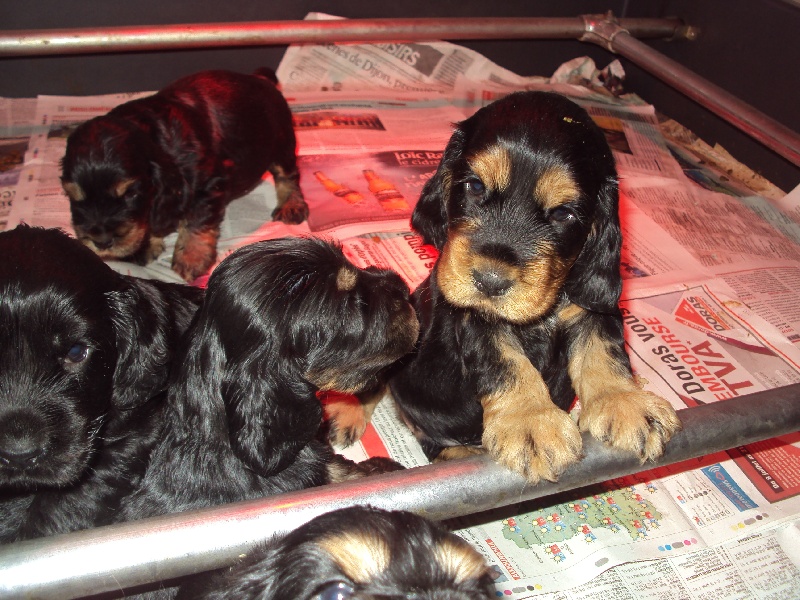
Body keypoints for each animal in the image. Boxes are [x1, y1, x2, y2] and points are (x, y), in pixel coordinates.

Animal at [59, 69, 308, 284]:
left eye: (130, 194)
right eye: (74, 197)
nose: (101, 242)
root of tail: (261, 78)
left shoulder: (208, 184)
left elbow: (195, 223)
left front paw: (190, 259)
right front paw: (146, 245)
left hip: (282, 142)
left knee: (288, 175)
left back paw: (291, 205)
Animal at [388, 90, 680, 482]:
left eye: (563, 213)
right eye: (475, 186)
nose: (490, 281)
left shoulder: (591, 303)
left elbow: (604, 349)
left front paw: (626, 402)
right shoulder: (476, 318)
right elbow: (505, 362)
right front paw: (530, 422)